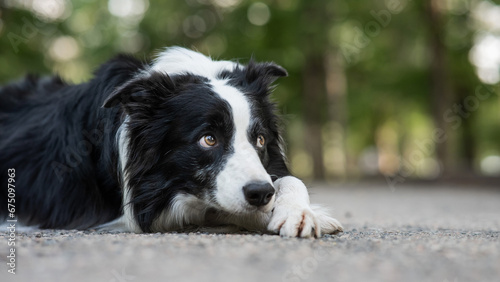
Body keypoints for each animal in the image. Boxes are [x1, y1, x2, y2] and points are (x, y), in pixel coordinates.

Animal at [0, 47, 344, 237]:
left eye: (259, 139)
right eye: (208, 139)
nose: (260, 194)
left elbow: (289, 180)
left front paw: (303, 213)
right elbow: (219, 207)